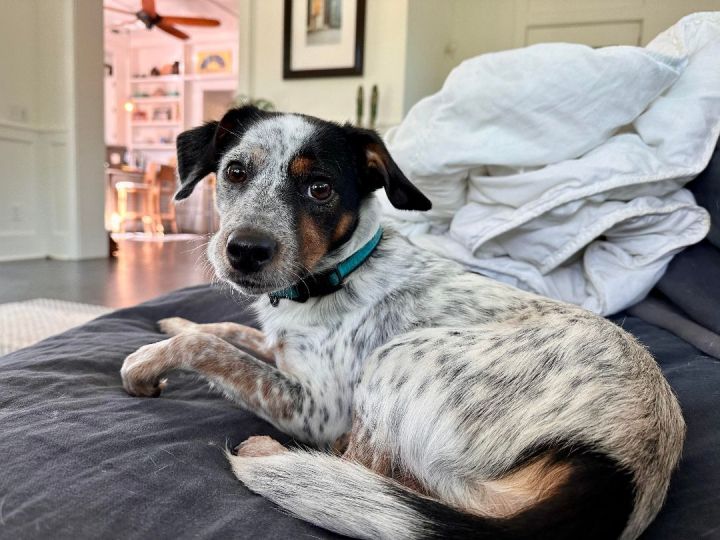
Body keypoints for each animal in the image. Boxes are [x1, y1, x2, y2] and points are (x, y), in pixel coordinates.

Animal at [121, 106, 684, 540]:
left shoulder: (316, 409)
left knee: (366, 469)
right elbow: (225, 333)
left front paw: (146, 362)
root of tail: (624, 469)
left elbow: (209, 347)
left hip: (396, 359)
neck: (340, 274)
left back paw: (276, 455)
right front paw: (171, 321)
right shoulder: (282, 351)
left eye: (320, 188)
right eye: (236, 171)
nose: (244, 251)